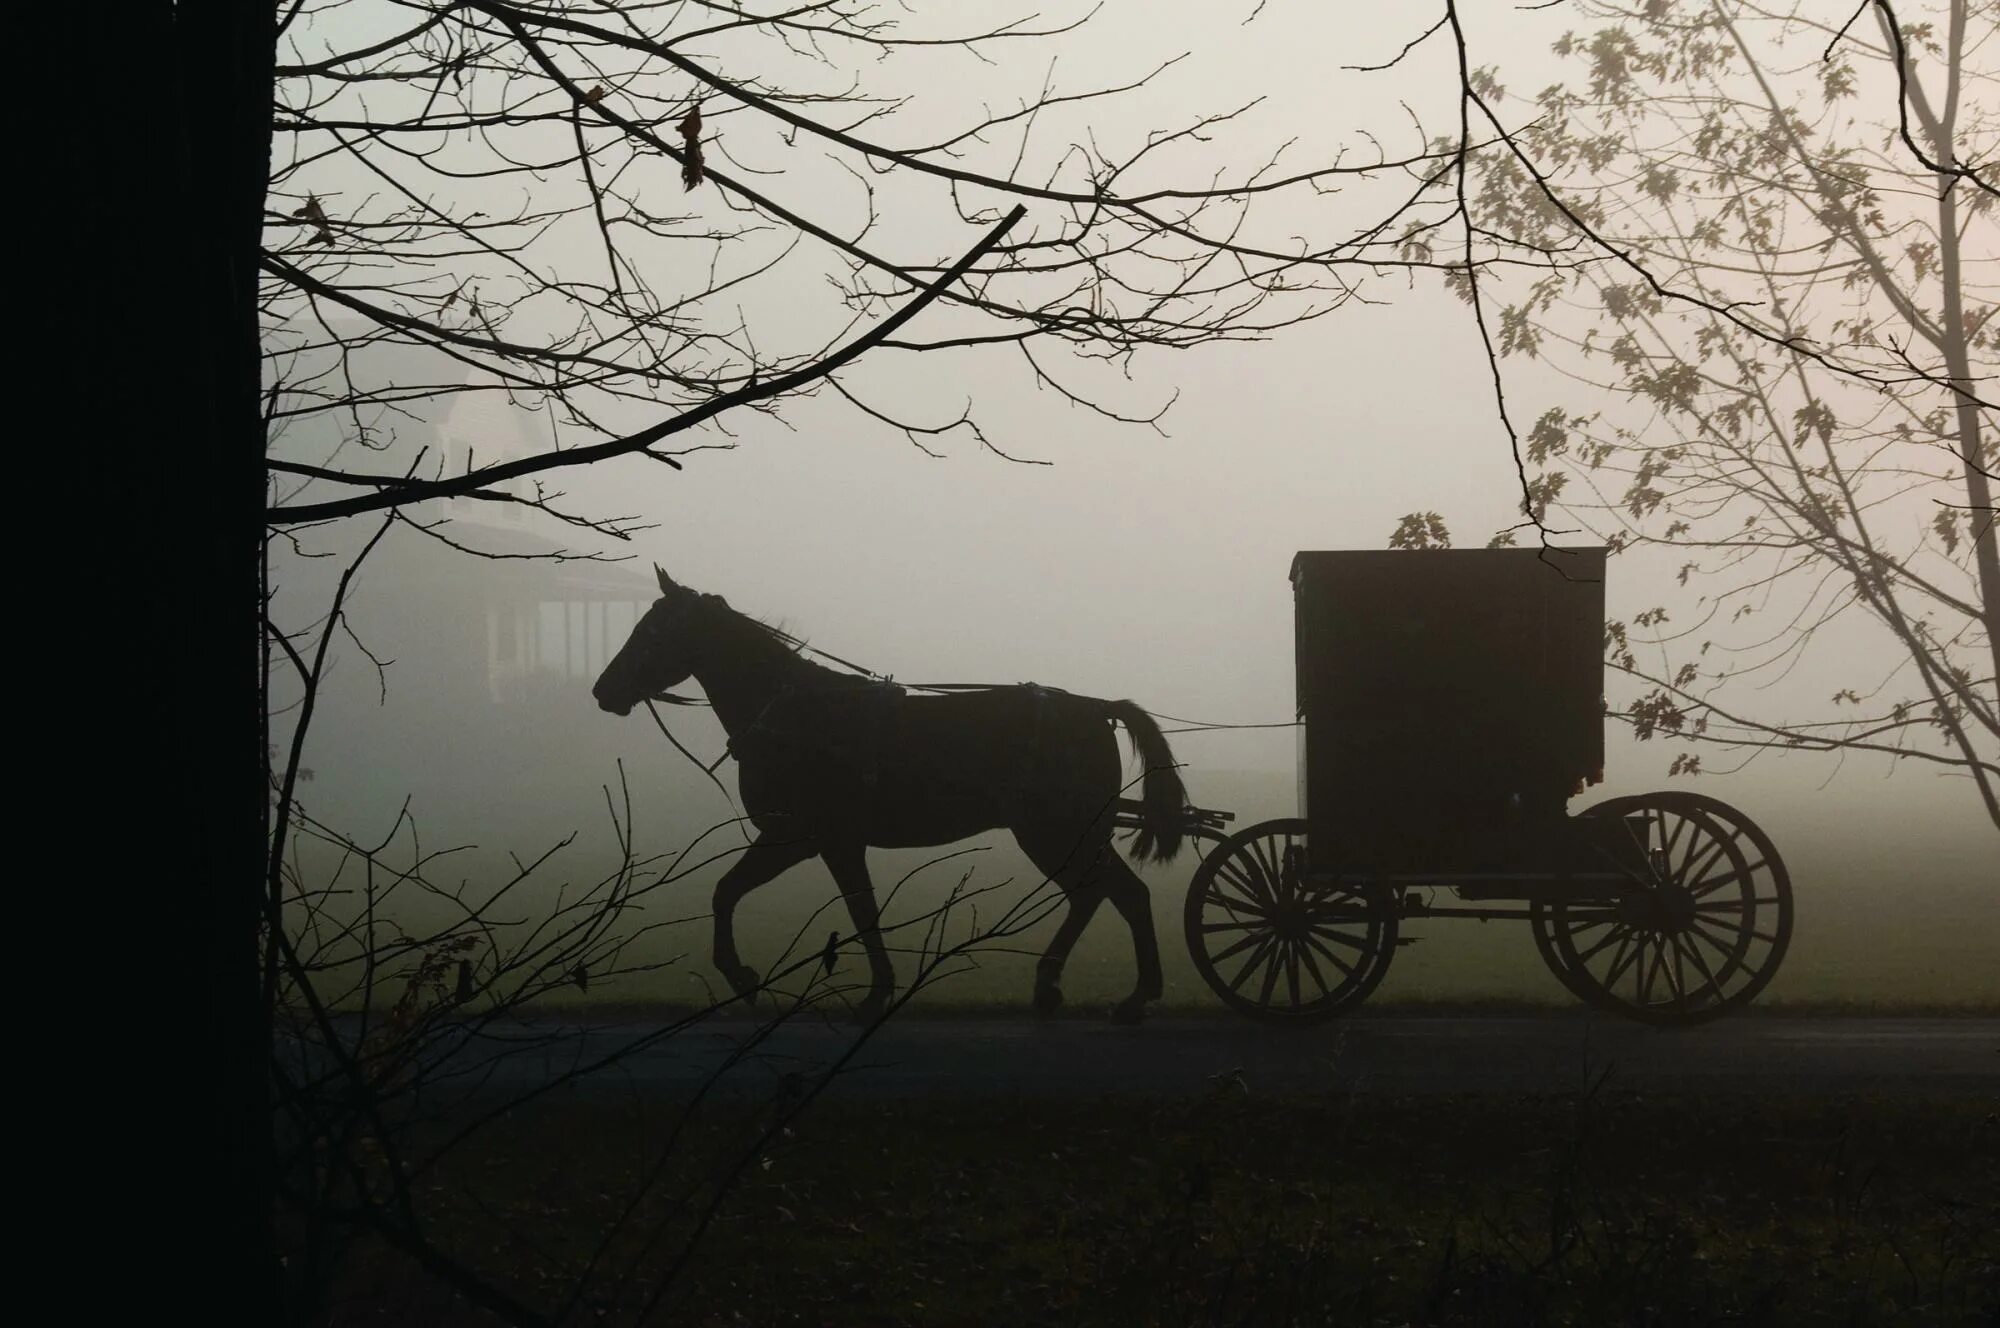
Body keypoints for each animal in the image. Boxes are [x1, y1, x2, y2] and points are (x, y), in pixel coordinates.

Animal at [588, 564, 1184, 1020]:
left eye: (652, 631)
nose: (602, 690)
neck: (794, 714)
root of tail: (1095, 708)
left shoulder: (809, 839)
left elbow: (840, 908)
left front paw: (752, 977)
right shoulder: (809, 841)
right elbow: (753, 895)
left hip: (1055, 833)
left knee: (1107, 893)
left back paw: (1112, 991)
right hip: (1071, 834)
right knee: (1110, 894)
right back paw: (1090, 989)